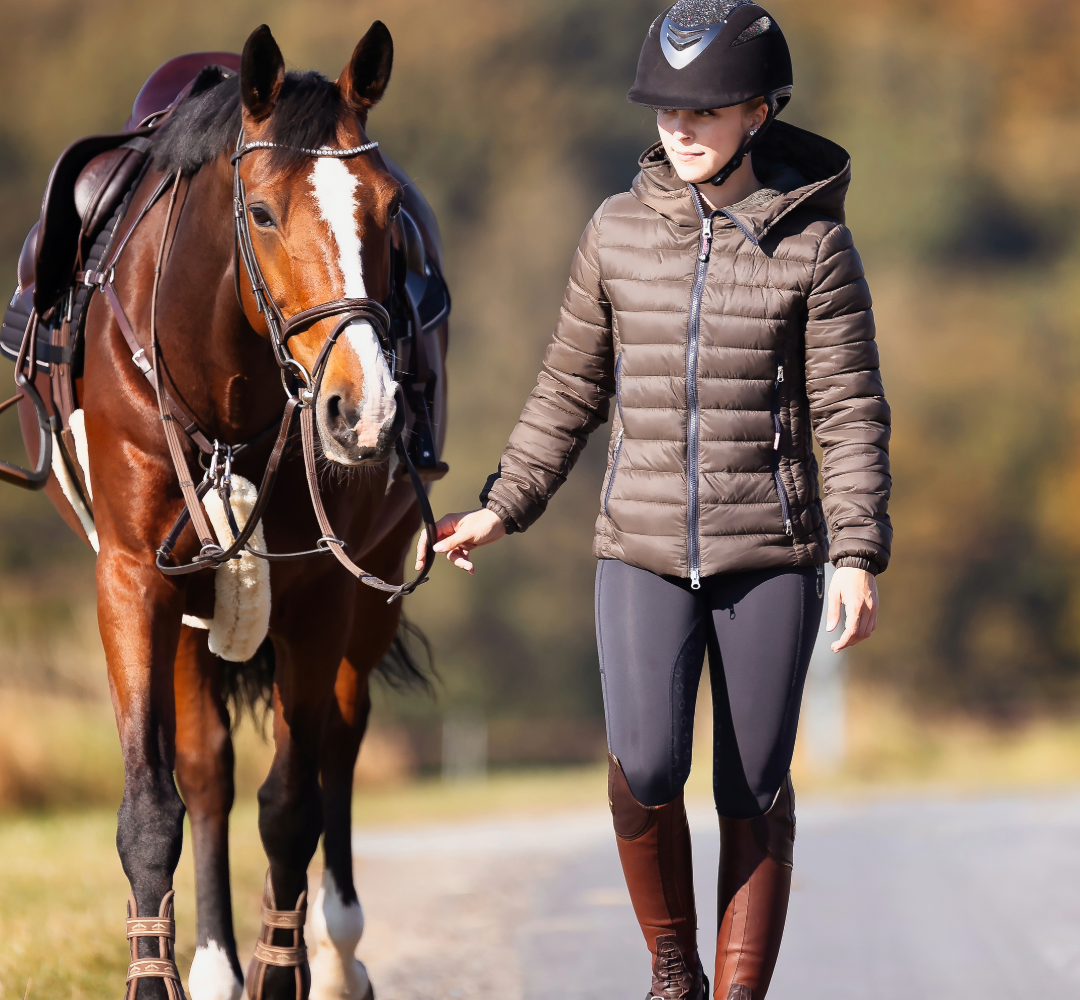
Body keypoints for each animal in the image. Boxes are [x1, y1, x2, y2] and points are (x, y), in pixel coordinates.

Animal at [11, 21, 447, 1000]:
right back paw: (214, 963)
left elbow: (291, 803)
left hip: (367, 593)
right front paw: (159, 973)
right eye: (262, 213)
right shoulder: (135, 578)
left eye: (387, 210)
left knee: (338, 748)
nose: (365, 409)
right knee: (208, 770)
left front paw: (288, 968)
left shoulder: (322, 589)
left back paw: (337, 953)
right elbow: (155, 804)